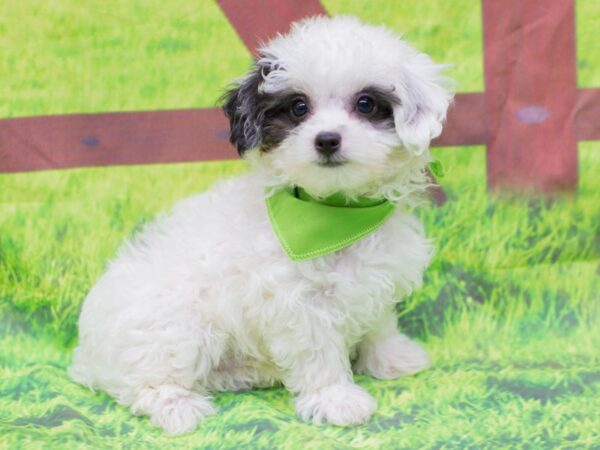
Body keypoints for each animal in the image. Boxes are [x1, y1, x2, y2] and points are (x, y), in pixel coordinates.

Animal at [69, 15, 450, 434]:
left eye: (365, 103)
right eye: (298, 107)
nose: (327, 140)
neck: (335, 215)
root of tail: (89, 355)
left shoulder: (379, 279)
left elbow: (380, 322)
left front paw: (391, 358)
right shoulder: (297, 304)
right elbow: (319, 353)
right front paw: (336, 399)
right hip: (175, 328)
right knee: (146, 382)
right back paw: (178, 407)